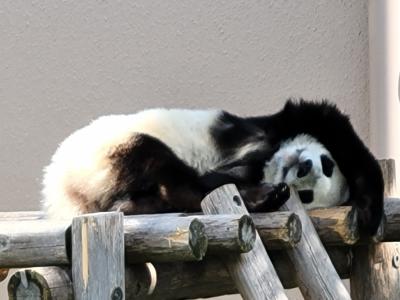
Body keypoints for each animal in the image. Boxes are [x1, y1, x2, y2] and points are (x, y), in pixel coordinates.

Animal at [41, 99, 384, 236]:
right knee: (163, 165)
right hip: (104, 150)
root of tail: (61, 191)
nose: (302, 167)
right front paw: (370, 212)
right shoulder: (277, 125)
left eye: (309, 196)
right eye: (326, 165)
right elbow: (328, 121)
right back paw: (263, 197)